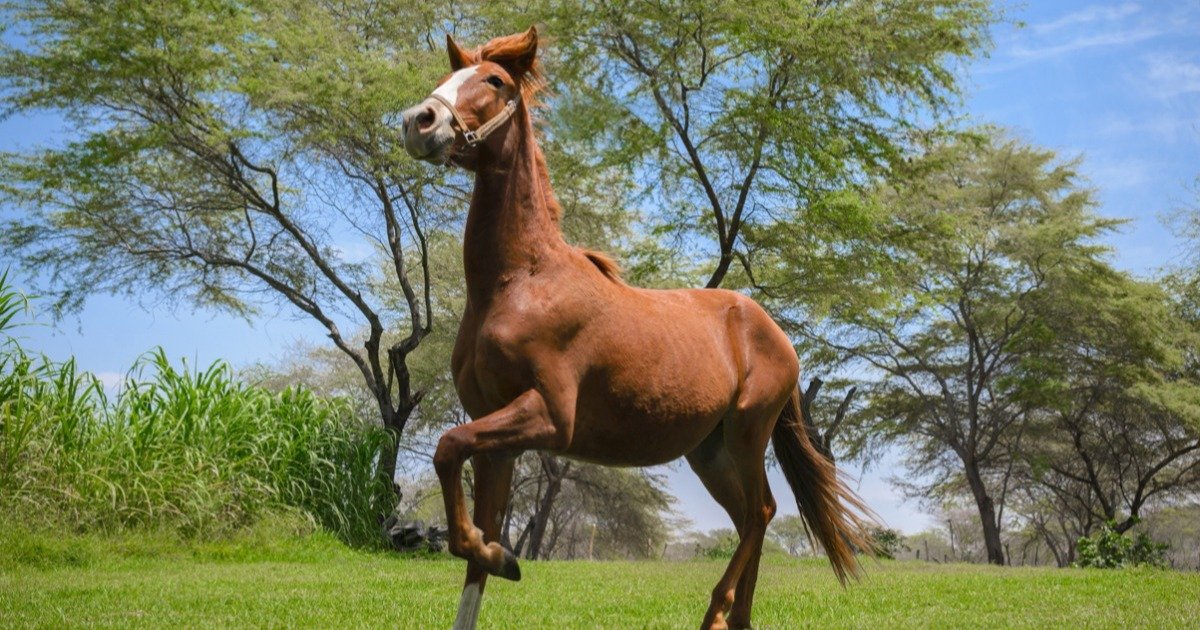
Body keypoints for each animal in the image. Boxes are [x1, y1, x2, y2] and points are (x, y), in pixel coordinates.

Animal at [401, 26, 873, 630]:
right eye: (447, 76)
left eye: (495, 80)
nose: (418, 122)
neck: (521, 281)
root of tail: (775, 332)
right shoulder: (496, 438)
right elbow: (471, 556)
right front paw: (498, 554)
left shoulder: (548, 417)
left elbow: (445, 446)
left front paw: (505, 556)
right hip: (709, 451)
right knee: (751, 516)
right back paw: (737, 617)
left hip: (747, 433)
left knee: (761, 512)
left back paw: (717, 612)